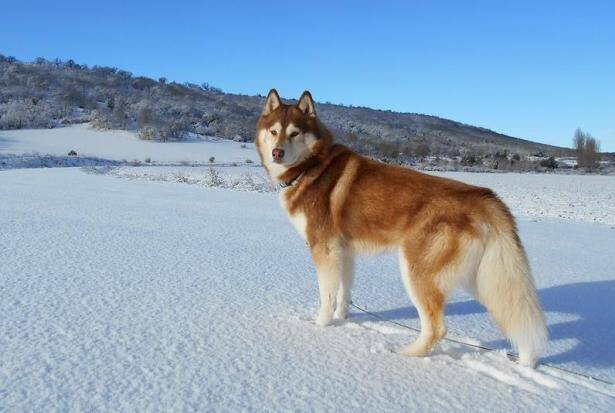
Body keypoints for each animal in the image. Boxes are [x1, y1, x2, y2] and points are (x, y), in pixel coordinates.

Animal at [255, 90, 548, 366]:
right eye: (274, 131)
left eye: (294, 133)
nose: (277, 153)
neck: (311, 166)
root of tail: (483, 196)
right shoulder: (344, 252)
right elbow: (343, 293)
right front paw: (342, 319)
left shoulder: (323, 250)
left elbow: (326, 295)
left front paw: (320, 325)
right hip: (483, 278)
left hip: (417, 272)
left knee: (437, 328)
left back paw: (407, 354)